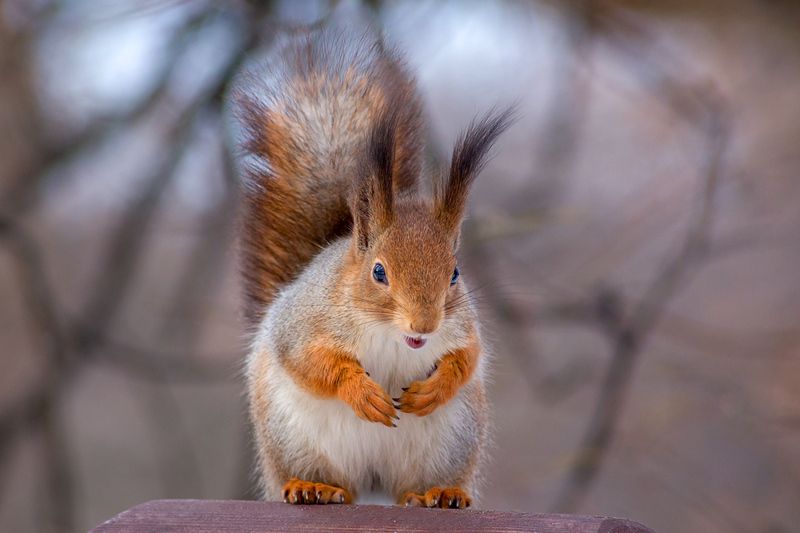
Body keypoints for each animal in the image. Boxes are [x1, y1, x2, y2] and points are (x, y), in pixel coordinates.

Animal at [231, 27, 513, 509]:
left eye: (455, 274)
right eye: (378, 272)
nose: (425, 324)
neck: (389, 334)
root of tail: (373, 482)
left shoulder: (463, 326)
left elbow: (468, 358)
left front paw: (435, 387)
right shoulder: (302, 322)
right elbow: (310, 361)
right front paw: (359, 390)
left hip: (451, 443)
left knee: (418, 485)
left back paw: (439, 493)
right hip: (292, 439)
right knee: (324, 477)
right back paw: (313, 487)